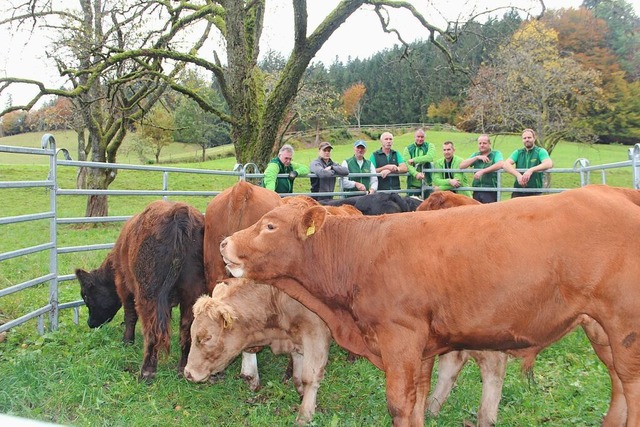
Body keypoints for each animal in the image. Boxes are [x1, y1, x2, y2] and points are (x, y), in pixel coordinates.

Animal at [184, 278, 330, 424]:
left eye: (207, 338)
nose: (188, 373)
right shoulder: (295, 339)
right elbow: (297, 375)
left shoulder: (315, 332)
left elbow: (309, 377)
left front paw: (305, 415)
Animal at [220, 186, 640, 427]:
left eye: (270, 226)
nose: (225, 243)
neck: (362, 251)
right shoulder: (421, 350)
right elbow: (418, 402)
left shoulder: (400, 338)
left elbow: (399, 405)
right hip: (601, 330)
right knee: (619, 388)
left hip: (626, 329)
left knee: (631, 388)